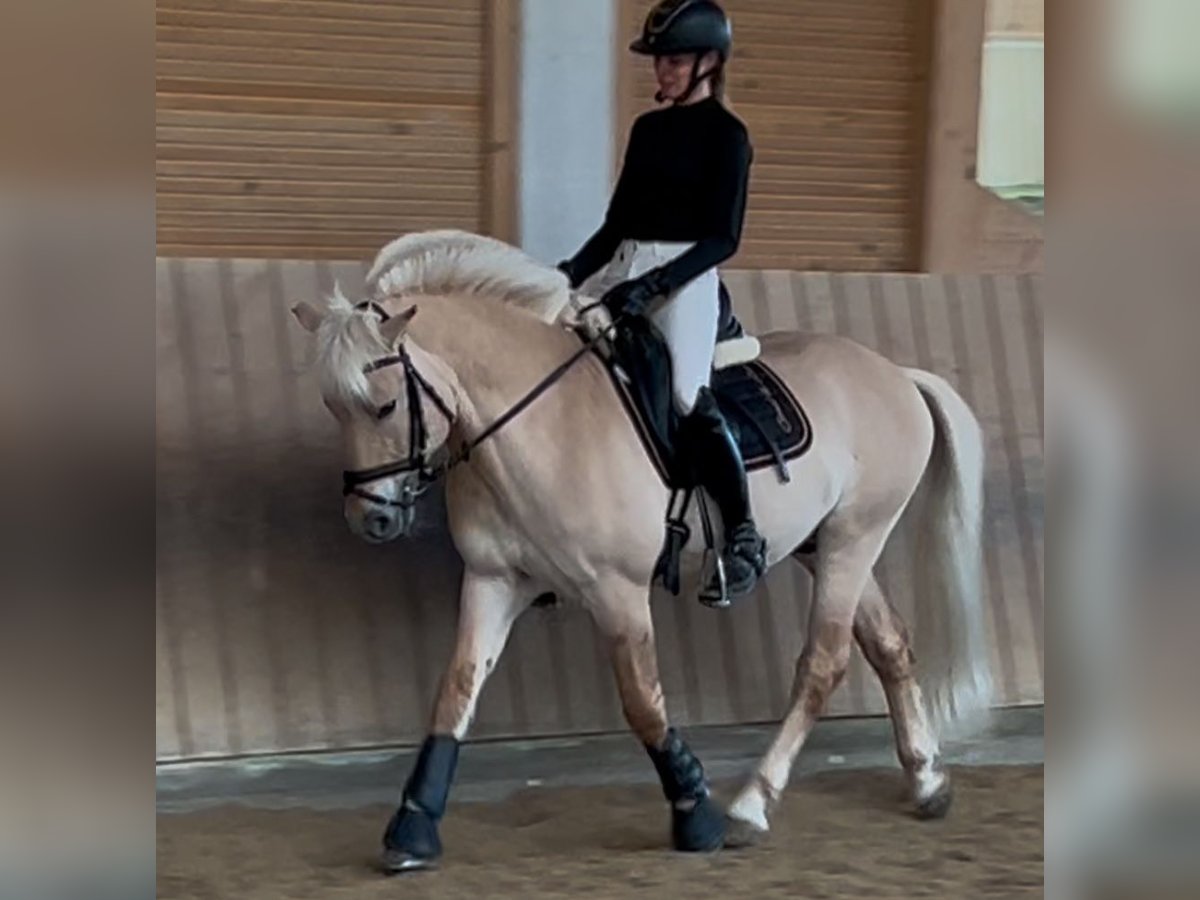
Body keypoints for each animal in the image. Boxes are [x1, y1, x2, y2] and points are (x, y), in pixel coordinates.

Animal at [290, 230, 993, 873]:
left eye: (383, 405)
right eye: (331, 406)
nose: (371, 519)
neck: (539, 420)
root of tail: (896, 375)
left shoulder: (616, 589)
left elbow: (642, 702)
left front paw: (697, 815)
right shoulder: (495, 579)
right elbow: (456, 691)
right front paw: (412, 828)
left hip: (855, 539)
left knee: (823, 663)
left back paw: (751, 805)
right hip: (829, 546)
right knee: (889, 644)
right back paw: (926, 782)